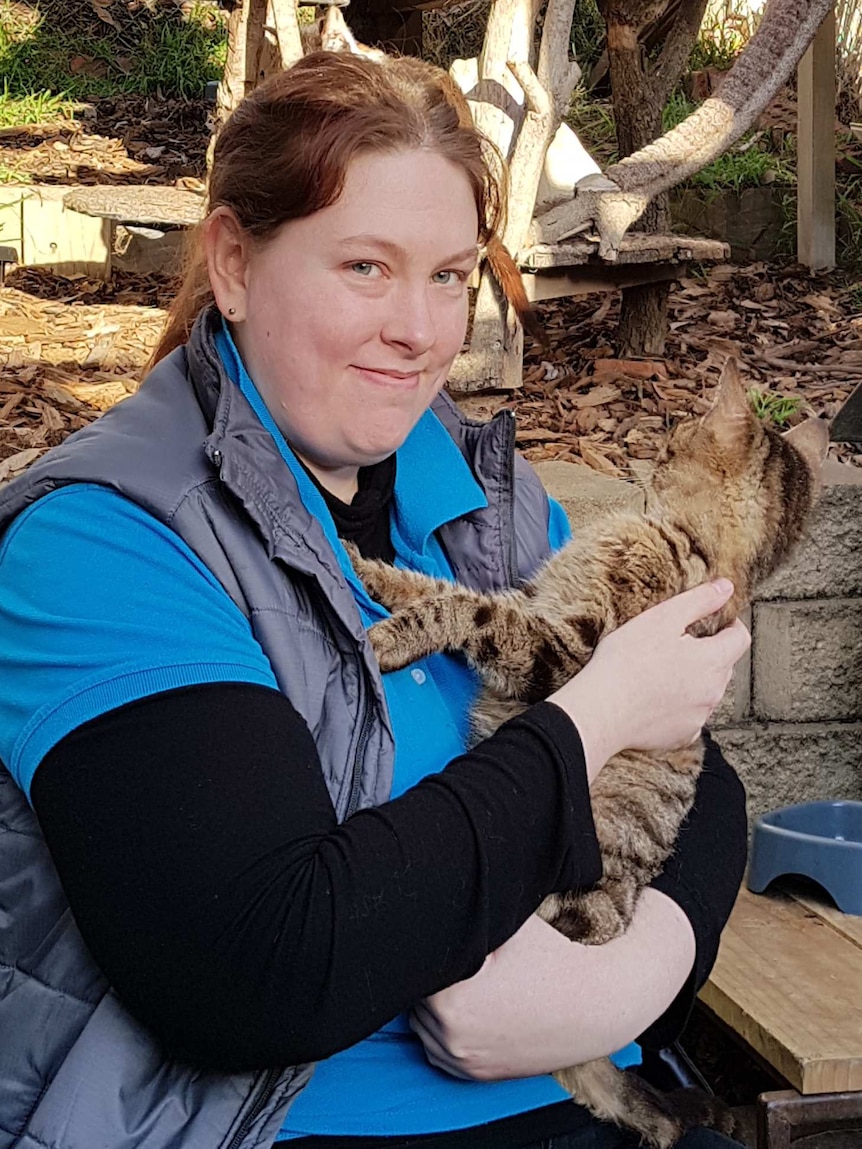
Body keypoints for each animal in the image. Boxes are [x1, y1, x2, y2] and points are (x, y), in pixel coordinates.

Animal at [347, 353, 832, 1144]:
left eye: (672, 442)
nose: (648, 459)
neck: (698, 549)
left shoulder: (560, 648)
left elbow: (467, 607)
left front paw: (391, 629)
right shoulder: (537, 605)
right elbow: (445, 584)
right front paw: (372, 570)